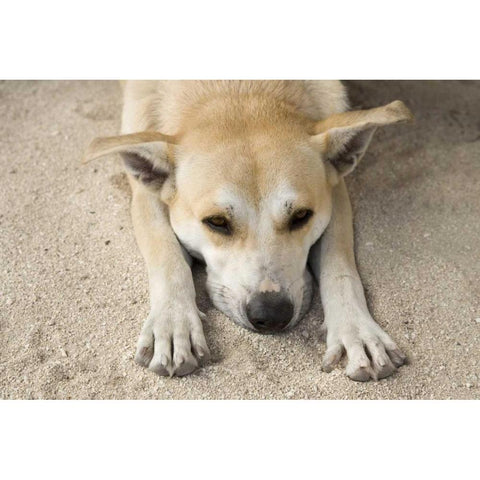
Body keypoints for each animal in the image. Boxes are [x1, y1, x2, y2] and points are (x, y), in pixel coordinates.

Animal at [83, 82, 412, 382]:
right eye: (217, 221)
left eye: (301, 216)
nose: (272, 315)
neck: (239, 92)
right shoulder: (144, 194)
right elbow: (167, 256)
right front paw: (174, 322)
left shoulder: (336, 193)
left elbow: (339, 265)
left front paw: (356, 329)